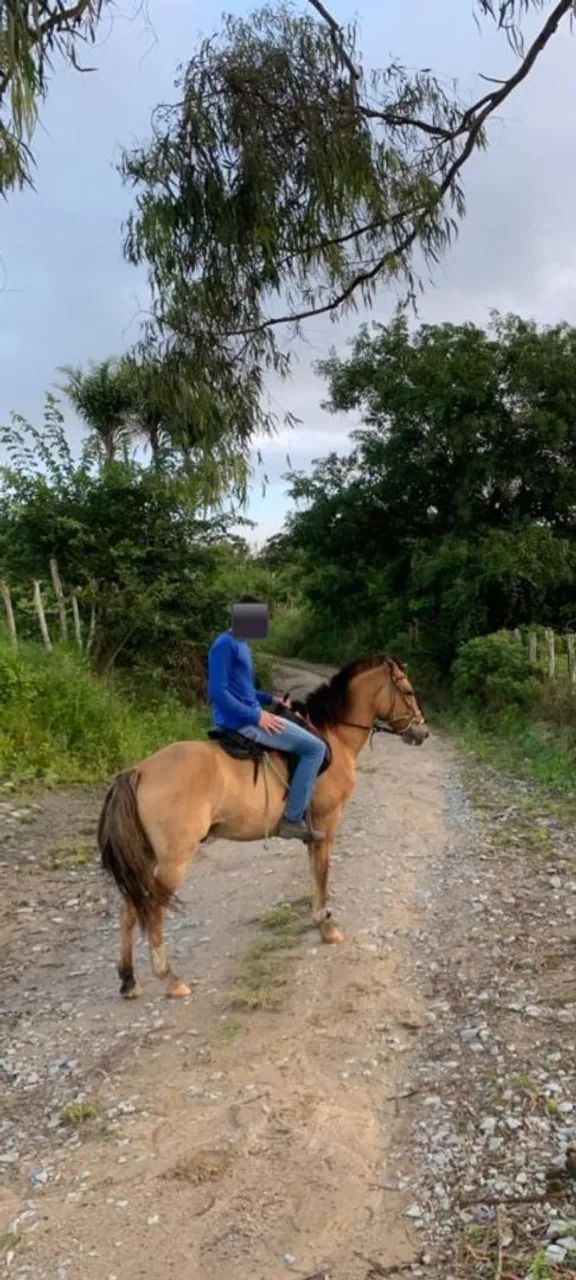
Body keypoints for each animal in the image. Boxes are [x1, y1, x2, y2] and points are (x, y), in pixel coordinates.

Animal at [98, 655, 428, 999]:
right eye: (407, 690)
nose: (423, 731)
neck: (334, 737)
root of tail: (138, 771)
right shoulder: (327, 824)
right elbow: (323, 874)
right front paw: (326, 927)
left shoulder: (314, 833)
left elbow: (314, 873)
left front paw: (318, 919)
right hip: (174, 860)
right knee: (154, 910)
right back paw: (171, 979)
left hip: (145, 856)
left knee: (130, 908)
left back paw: (129, 980)